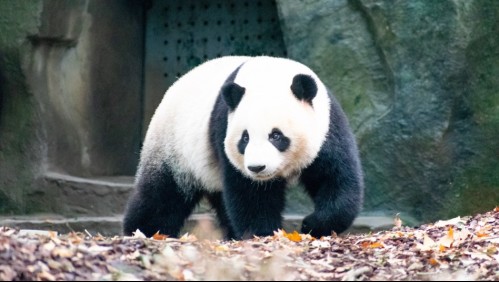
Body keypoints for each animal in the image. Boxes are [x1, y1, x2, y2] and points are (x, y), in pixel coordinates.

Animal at [121, 55, 364, 240]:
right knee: (162, 194)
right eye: (244, 138)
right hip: (174, 147)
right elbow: (250, 193)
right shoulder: (224, 128)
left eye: (276, 135)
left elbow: (336, 179)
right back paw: (143, 230)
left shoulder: (327, 128)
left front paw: (312, 224)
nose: (257, 167)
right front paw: (263, 233)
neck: (268, 75)